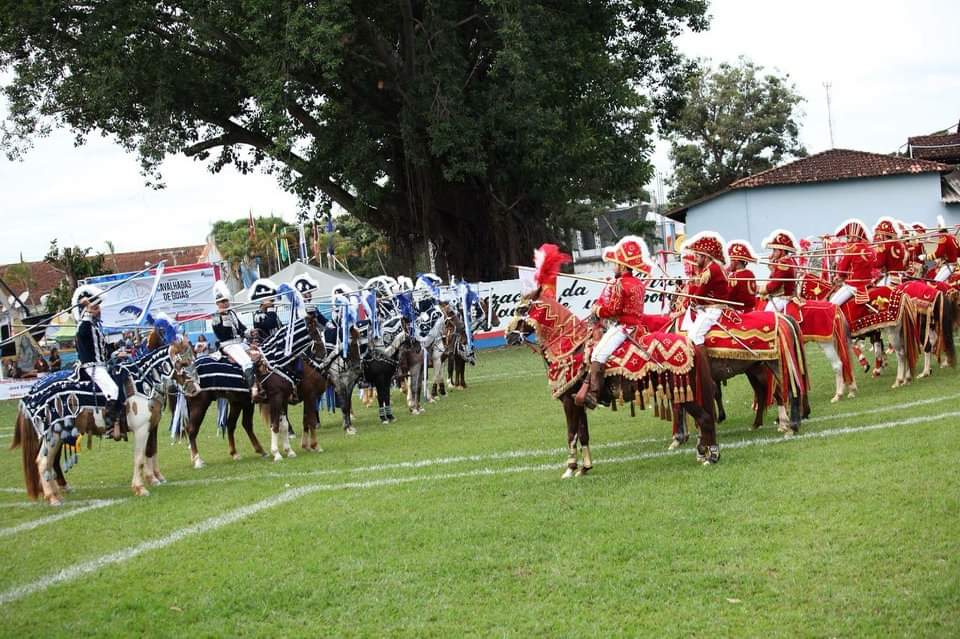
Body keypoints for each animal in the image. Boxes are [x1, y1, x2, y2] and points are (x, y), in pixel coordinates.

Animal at [11, 330, 199, 504]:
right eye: (184, 362)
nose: (195, 389)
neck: (144, 381)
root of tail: (29, 394)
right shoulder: (141, 429)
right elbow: (139, 457)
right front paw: (140, 487)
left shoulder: (151, 426)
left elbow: (151, 451)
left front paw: (154, 479)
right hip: (53, 436)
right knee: (43, 463)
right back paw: (52, 498)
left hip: (56, 437)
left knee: (49, 463)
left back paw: (57, 494)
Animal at [502, 290, 720, 476]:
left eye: (522, 309)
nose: (508, 335)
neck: (569, 348)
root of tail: (690, 344)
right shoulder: (578, 403)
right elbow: (583, 434)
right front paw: (585, 467)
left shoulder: (569, 402)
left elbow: (571, 433)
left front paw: (570, 468)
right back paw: (706, 453)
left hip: (684, 394)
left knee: (705, 419)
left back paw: (711, 456)